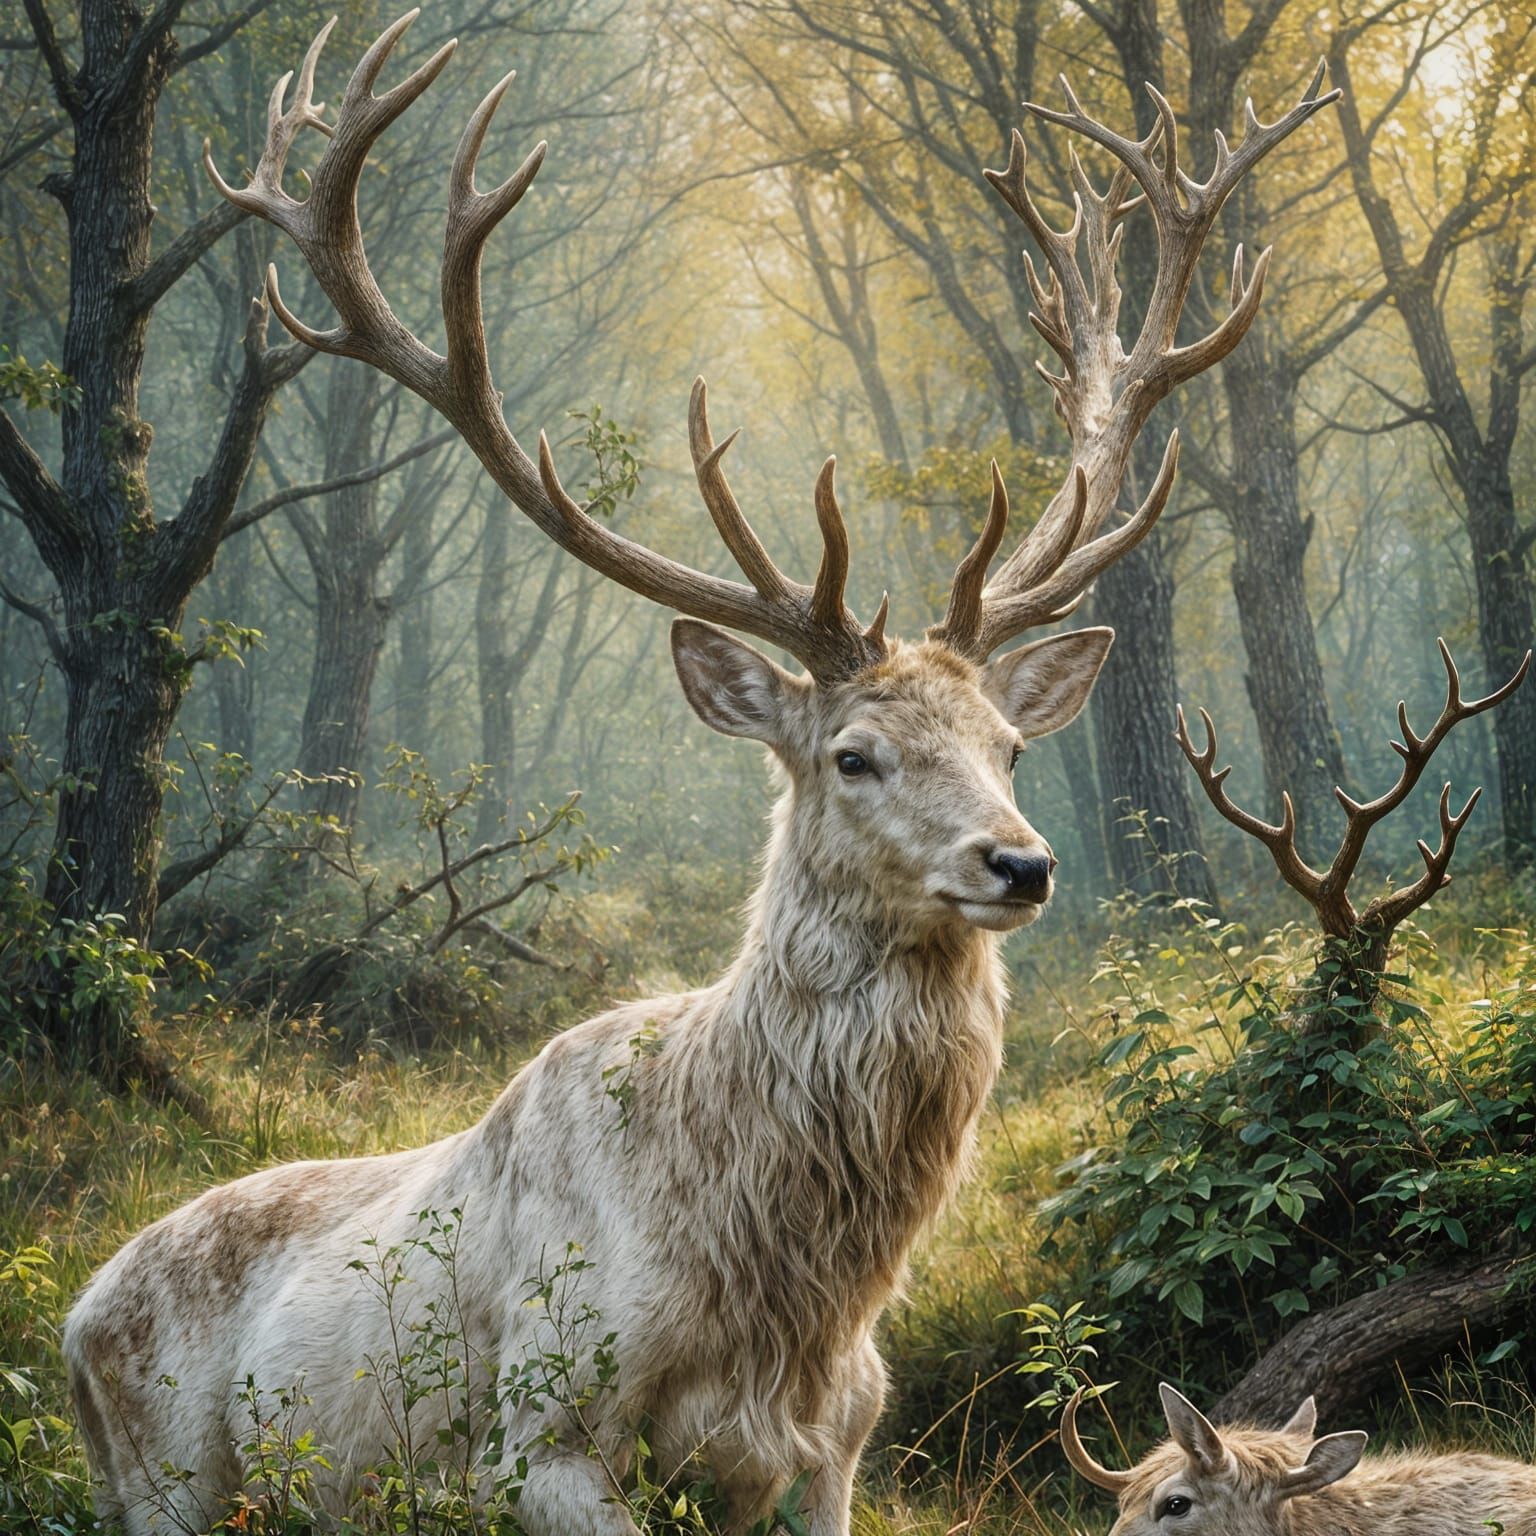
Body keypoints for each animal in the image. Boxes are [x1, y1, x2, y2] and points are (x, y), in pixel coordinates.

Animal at [63, 15, 1338, 1535]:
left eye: (1011, 746)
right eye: (854, 754)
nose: (1019, 862)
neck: (784, 1298)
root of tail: (70, 1319)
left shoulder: (835, 1449)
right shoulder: (538, 1431)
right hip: (166, 1476)